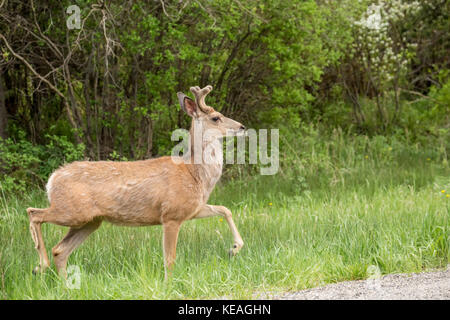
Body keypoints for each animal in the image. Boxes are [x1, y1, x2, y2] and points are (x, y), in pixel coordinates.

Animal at [27, 85, 246, 278]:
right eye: (216, 117)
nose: (242, 127)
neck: (194, 173)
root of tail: (52, 180)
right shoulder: (171, 214)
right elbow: (170, 259)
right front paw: (168, 285)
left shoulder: (192, 209)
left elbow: (225, 209)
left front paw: (234, 248)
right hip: (72, 211)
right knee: (34, 213)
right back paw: (40, 266)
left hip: (90, 220)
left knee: (59, 249)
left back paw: (62, 284)